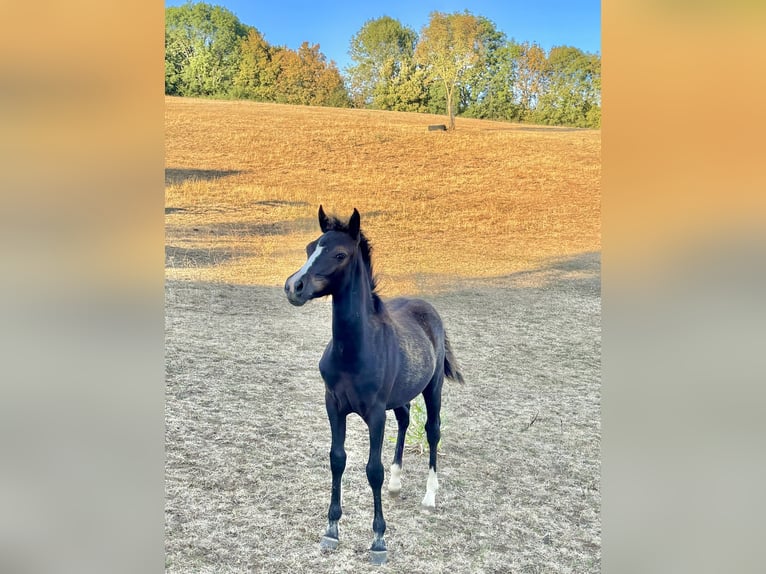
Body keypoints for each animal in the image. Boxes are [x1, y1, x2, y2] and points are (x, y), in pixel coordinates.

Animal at [284, 206, 464, 565]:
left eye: (340, 254)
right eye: (310, 248)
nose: (294, 286)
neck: (355, 350)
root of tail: (428, 308)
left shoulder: (376, 413)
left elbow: (372, 470)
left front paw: (379, 540)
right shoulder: (333, 404)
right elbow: (337, 459)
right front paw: (331, 530)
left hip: (433, 388)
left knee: (433, 430)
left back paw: (429, 496)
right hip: (401, 396)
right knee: (406, 420)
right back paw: (396, 486)